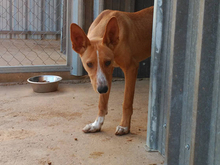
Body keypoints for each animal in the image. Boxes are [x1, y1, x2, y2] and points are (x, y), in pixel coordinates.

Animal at [70, 6, 153, 135]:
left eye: (108, 62)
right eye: (89, 64)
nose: (102, 89)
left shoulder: (131, 67)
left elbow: (127, 102)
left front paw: (124, 126)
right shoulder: (106, 76)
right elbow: (102, 103)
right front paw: (96, 125)